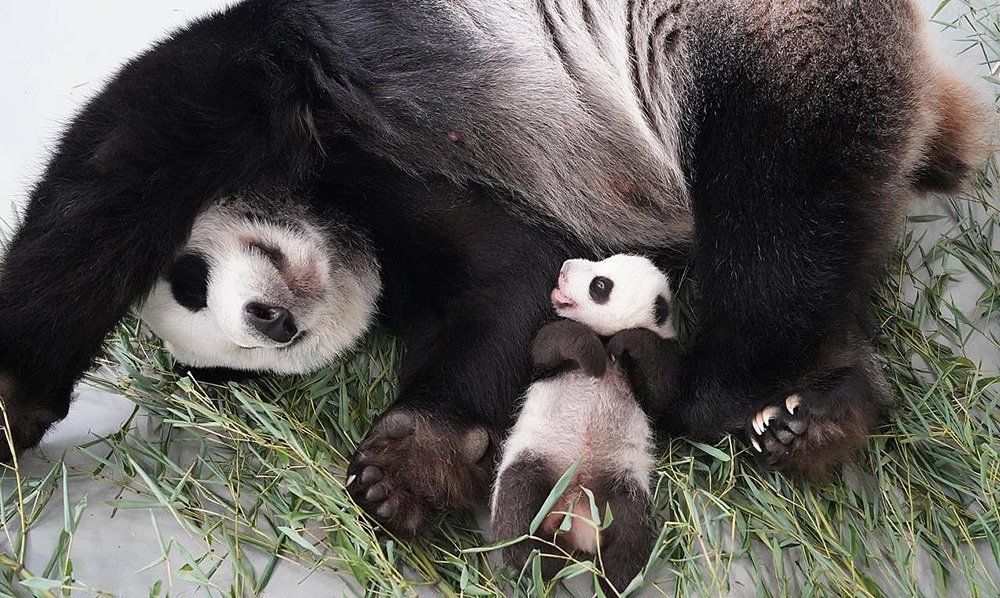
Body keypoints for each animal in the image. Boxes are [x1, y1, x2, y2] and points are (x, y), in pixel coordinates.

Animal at [0, 0, 988, 540]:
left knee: (774, 214)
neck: (349, 233)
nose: (269, 321)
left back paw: (721, 386)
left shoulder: (299, 103)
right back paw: (821, 412)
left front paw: (401, 467)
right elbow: (505, 294)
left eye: (193, 278)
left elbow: (103, 191)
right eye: (237, 360)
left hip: (761, 46)